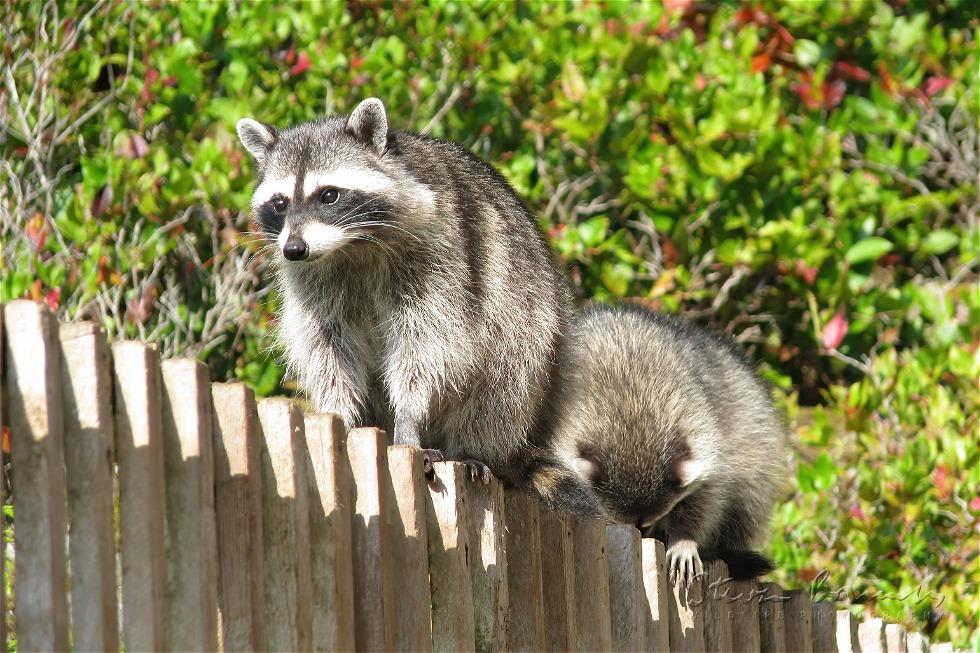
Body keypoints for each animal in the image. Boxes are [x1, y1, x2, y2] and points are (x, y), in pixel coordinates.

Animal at [236, 98, 572, 484]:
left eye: (329, 195)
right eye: (279, 203)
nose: (294, 249)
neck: (350, 245)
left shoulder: (436, 255)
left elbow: (426, 344)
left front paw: (409, 418)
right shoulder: (315, 281)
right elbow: (328, 348)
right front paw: (340, 415)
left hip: (530, 311)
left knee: (505, 377)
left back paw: (472, 446)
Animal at [532, 304, 786, 583]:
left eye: (646, 524)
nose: (642, 536)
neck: (633, 413)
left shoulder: (703, 427)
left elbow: (708, 496)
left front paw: (684, 536)